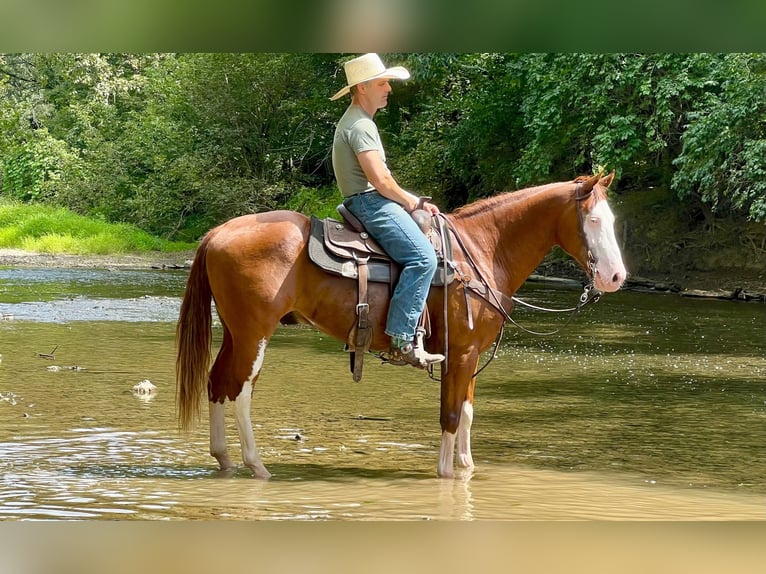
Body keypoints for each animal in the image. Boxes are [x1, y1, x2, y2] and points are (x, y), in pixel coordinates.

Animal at [176, 171, 626, 479]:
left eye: (613, 220)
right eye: (594, 221)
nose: (616, 277)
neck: (481, 251)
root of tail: (218, 232)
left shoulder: (470, 357)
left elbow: (466, 413)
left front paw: (467, 468)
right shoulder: (460, 353)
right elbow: (450, 415)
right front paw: (447, 476)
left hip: (234, 332)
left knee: (217, 383)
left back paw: (224, 460)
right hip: (255, 334)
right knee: (240, 391)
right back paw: (257, 466)